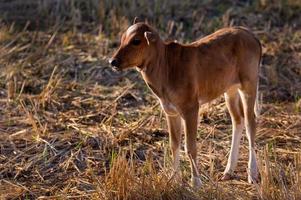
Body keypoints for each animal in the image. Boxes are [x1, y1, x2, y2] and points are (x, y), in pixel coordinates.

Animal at [108, 20, 260, 188]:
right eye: (122, 38)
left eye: (136, 41)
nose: (113, 61)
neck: (167, 69)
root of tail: (251, 35)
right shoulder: (170, 111)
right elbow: (174, 145)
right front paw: (174, 179)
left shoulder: (191, 108)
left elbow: (190, 147)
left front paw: (196, 183)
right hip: (230, 89)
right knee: (237, 120)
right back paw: (228, 171)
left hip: (249, 83)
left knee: (251, 122)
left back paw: (252, 174)